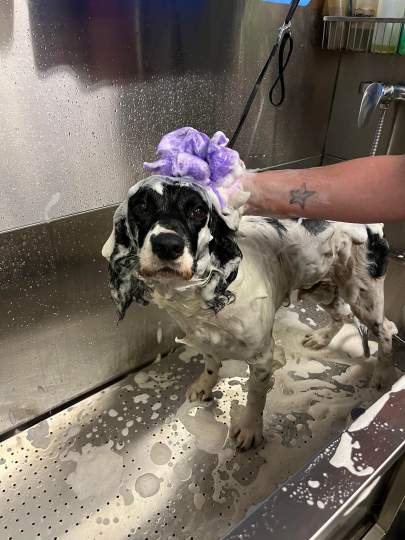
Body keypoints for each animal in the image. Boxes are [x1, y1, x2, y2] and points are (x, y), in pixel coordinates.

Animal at [102, 175, 396, 450]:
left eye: (197, 211)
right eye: (142, 206)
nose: (167, 245)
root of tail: (370, 225)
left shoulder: (263, 356)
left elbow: (256, 396)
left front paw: (250, 429)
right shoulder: (204, 337)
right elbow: (211, 363)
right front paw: (204, 385)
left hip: (364, 296)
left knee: (386, 330)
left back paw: (382, 376)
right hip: (321, 287)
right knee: (341, 314)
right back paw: (321, 338)